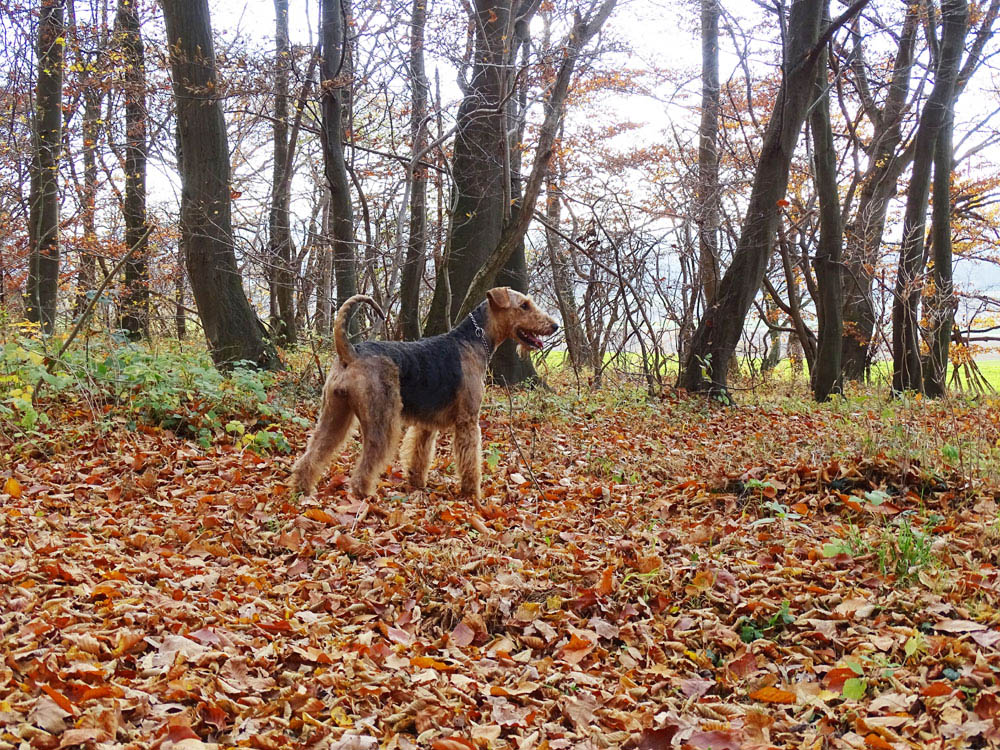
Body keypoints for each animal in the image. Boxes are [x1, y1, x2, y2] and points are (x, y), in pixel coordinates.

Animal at [292, 290, 564, 502]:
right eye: (524, 305)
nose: (554, 325)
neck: (474, 340)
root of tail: (351, 351)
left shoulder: (426, 424)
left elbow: (419, 456)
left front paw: (417, 484)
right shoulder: (468, 420)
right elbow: (470, 460)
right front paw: (472, 494)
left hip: (334, 414)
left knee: (312, 454)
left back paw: (303, 488)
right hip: (383, 421)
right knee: (365, 465)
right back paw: (364, 495)